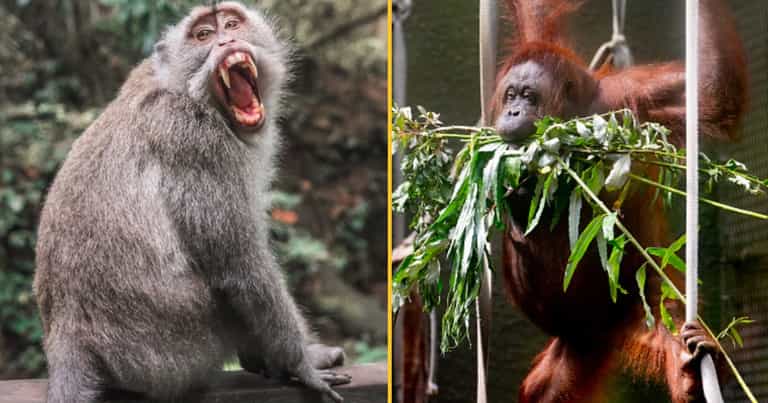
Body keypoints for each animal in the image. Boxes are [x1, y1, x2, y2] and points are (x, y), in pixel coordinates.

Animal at [33, 2, 350, 402]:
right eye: (203, 35)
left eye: (231, 23)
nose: (226, 41)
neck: (189, 92)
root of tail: (66, 334)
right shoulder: (196, 141)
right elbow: (240, 265)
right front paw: (301, 363)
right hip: (170, 344)